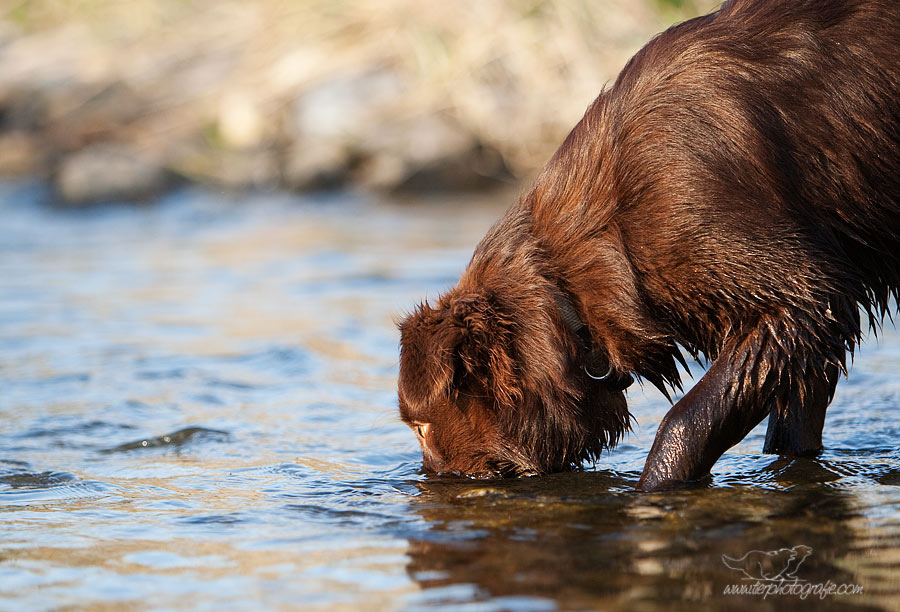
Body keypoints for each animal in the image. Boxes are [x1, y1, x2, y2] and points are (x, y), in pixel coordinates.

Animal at [396, 0, 900, 490]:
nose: (432, 481)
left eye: (421, 426)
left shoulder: (799, 295)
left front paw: (655, 486)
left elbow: (686, 418)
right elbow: (796, 415)